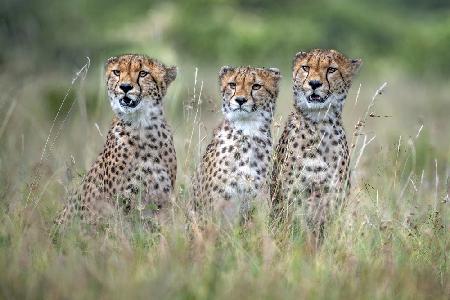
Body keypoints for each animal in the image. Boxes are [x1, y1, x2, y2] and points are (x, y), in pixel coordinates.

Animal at [54, 54, 178, 227]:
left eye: (143, 73)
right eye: (117, 72)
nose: (125, 87)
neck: (142, 126)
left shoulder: (162, 202)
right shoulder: (119, 204)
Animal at [270, 48, 362, 237]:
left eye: (331, 70)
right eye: (306, 67)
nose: (314, 83)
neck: (320, 123)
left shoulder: (333, 198)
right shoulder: (293, 198)